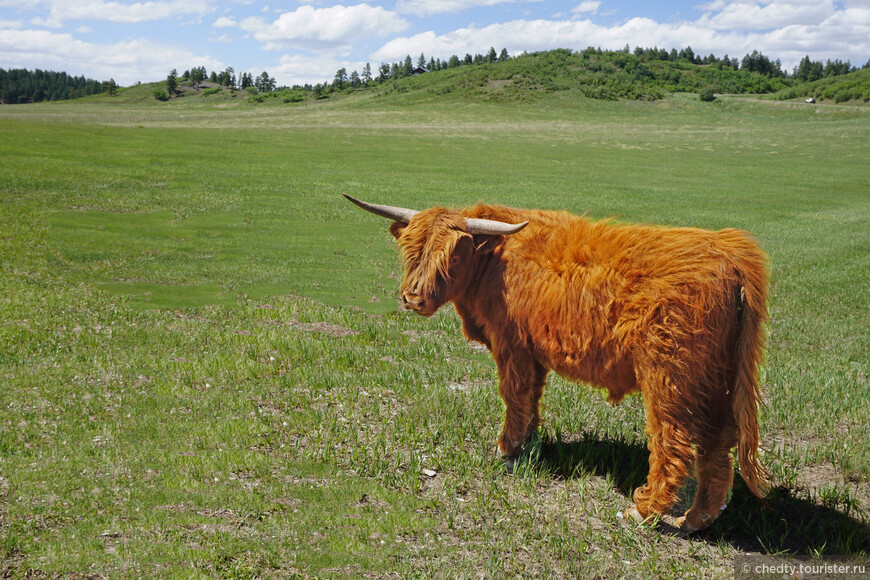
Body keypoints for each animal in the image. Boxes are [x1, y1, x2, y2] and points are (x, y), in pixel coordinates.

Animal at [346, 194, 768, 532]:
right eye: (410, 249)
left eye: (452, 253)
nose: (412, 299)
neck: (493, 261)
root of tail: (729, 253)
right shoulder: (533, 353)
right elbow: (531, 397)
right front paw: (528, 444)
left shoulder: (511, 345)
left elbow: (513, 395)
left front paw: (506, 449)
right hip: (717, 380)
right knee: (718, 447)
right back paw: (695, 519)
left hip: (670, 380)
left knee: (673, 445)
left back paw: (644, 511)